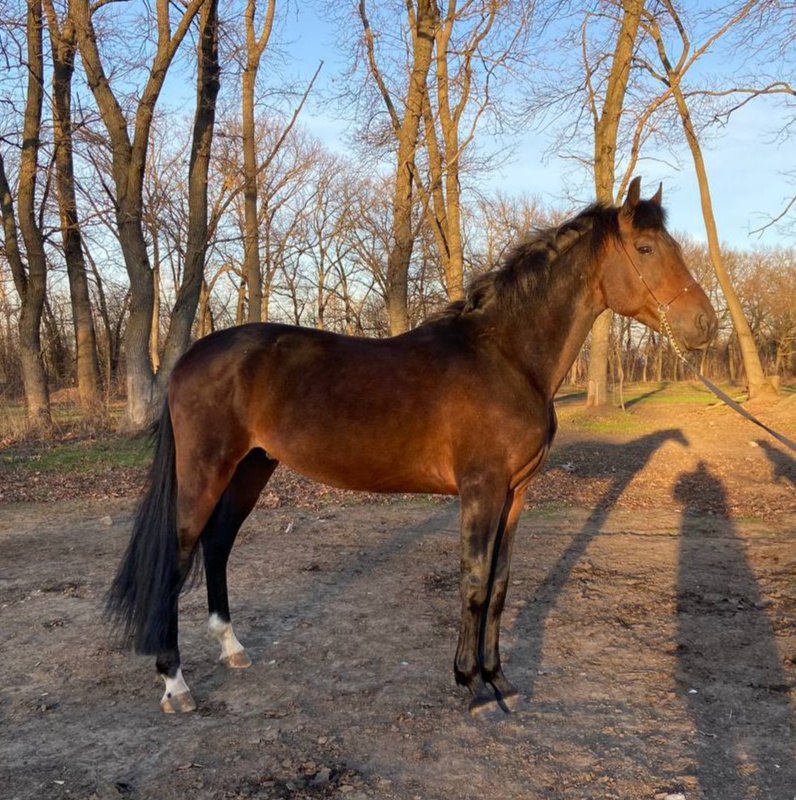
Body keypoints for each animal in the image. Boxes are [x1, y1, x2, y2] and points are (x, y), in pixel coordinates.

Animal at [104, 180, 716, 720]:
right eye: (645, 248)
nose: (705, 325)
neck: (506, 358)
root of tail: (187, 359)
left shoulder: (516, 493)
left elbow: (499, 585)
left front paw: (501, 681)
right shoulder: (481, 490)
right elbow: (474, 583)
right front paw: (473, 686)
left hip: (252, 468)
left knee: (218, 545)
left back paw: (232, 650)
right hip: (206, 471)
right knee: (179, 558)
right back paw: (175, 684)